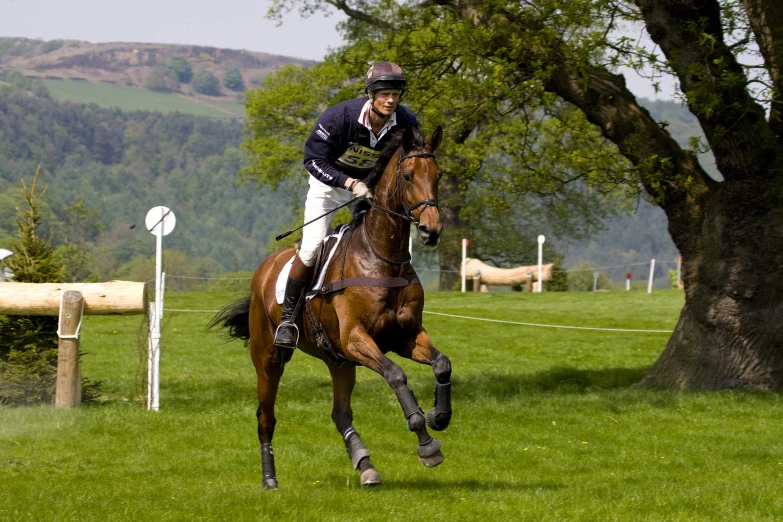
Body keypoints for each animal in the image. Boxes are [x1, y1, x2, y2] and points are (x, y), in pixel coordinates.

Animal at [208, 124, 454, 486]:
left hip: (338, 360)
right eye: (408, 176)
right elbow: (396, 375)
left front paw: (439, 414)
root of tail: (263, 270)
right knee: (266, 416)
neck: (383, 258)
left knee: (340, 413)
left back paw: (366, 466)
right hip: (269, 359)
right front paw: (426, 441)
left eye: (438, 175)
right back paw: (270, 479)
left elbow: (442, 364)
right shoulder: (357, 339)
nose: (431, 230)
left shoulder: (403, 336)